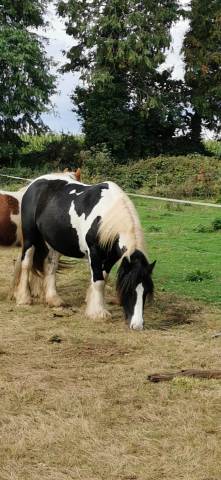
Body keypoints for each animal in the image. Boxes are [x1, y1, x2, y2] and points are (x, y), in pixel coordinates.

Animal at [14, 173, 155, 330]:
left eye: (146, 291)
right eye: (128, 289)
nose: (137, 325)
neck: (106, 215)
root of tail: (33, 184)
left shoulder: (110, 257)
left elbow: (103, 278)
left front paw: (93, 303)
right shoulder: (94, 253)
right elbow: (98, 281)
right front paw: (98, 313)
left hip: (53, 242)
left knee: (51, 266)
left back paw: (54, 300)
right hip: (30, 237)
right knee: (26, 263)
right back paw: (24, 298)